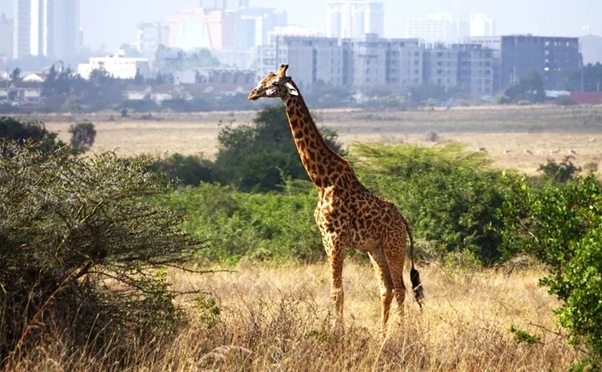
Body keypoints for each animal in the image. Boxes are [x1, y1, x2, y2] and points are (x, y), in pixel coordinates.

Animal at [245, 64, 422, 334]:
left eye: (274, 83)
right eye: (264, 79)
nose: (252, 93)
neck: (321, 180)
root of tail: (404, 221)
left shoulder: (335, 236)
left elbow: (337, 290)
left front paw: (336, 332)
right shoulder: (325, 237)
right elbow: (337, 290)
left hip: (394, 245)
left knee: (400, 288)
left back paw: (399, 333)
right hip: (376, 249)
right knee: (387, 288)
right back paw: (382, 334)